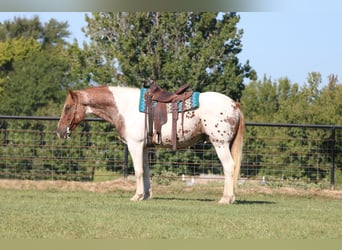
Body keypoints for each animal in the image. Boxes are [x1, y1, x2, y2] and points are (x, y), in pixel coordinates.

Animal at [55, 85, 243, 204]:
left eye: (68, 107)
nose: (60, 131)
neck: (125, 107)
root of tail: (234, 104)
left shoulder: (135, 145)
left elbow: (138, 171)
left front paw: (136, 196)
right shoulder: (144, 147)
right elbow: (145, 171)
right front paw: (146, 195)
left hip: (220, 143)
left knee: (229, 167)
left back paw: (225, 199)